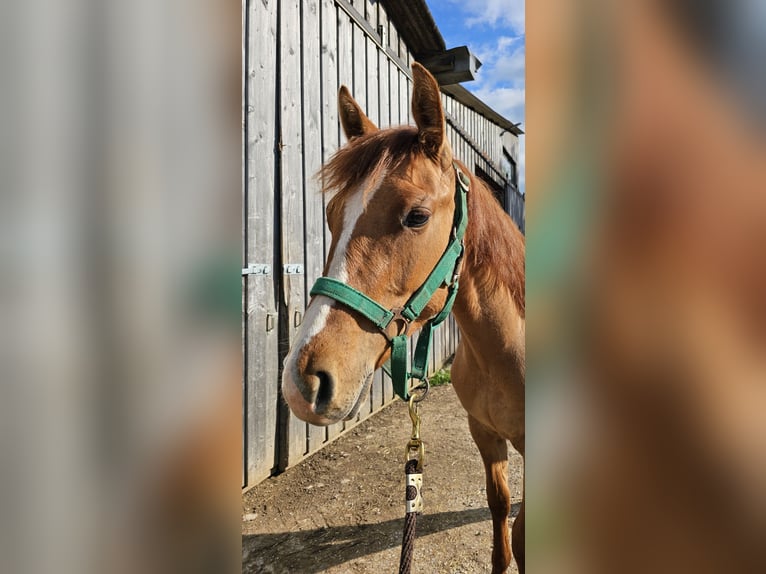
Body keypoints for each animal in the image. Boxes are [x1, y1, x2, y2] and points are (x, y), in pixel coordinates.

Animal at [282, 63, 528, 574]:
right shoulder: (485, 435)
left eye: (416, 216)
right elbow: (500, 512)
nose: (302, 381)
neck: (504, 353)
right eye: (332, 214)